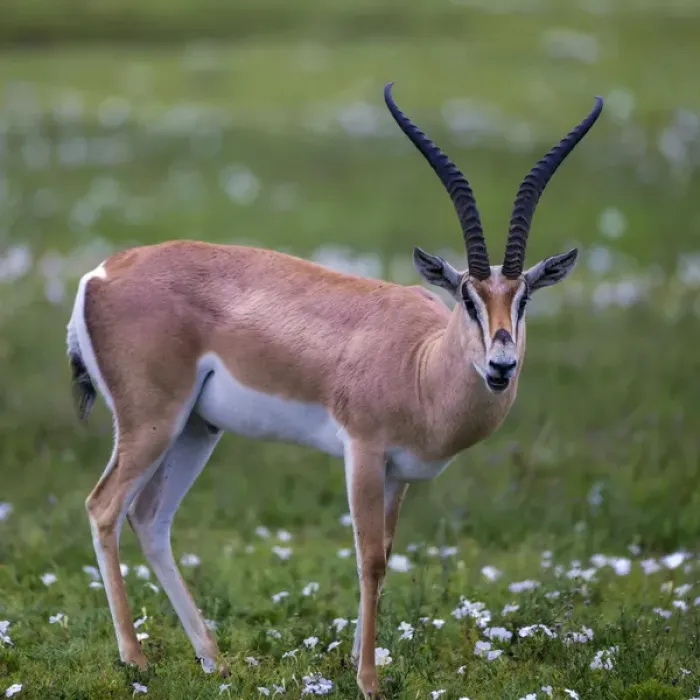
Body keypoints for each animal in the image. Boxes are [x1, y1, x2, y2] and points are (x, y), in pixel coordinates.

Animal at [66, 82, 603, 698]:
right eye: (467, 298)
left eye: (524, 299)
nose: (501, 366)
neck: (420, 364)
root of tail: (100, 275)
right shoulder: (363, 454)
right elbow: (369, 558)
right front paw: (368, 679)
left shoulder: (398, 474)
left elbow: (387, 554)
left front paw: (353, 662)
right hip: (151, 421)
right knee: (104, 506)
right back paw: (136, 660)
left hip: (197, 428)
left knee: (151, 518)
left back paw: (214, 661)